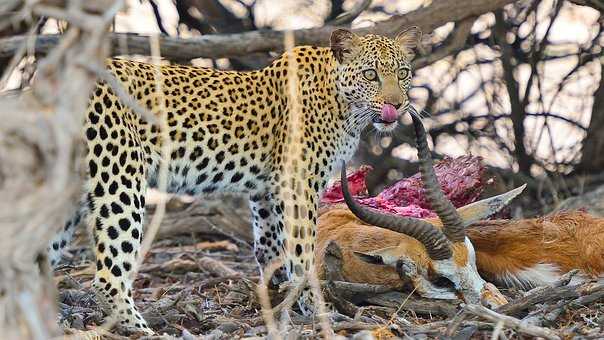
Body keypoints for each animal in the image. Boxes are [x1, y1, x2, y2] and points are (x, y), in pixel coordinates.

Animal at [48, 27, 420, 334]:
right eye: (370, 74)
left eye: (402, 74)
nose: (396, 105)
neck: (344, 106)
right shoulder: (299, 183)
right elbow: (302, 252)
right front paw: (313, 308)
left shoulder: (267, 192)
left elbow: (270, 248)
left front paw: (276, 299)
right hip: (121, 176)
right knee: (108, 276)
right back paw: (143, 329)